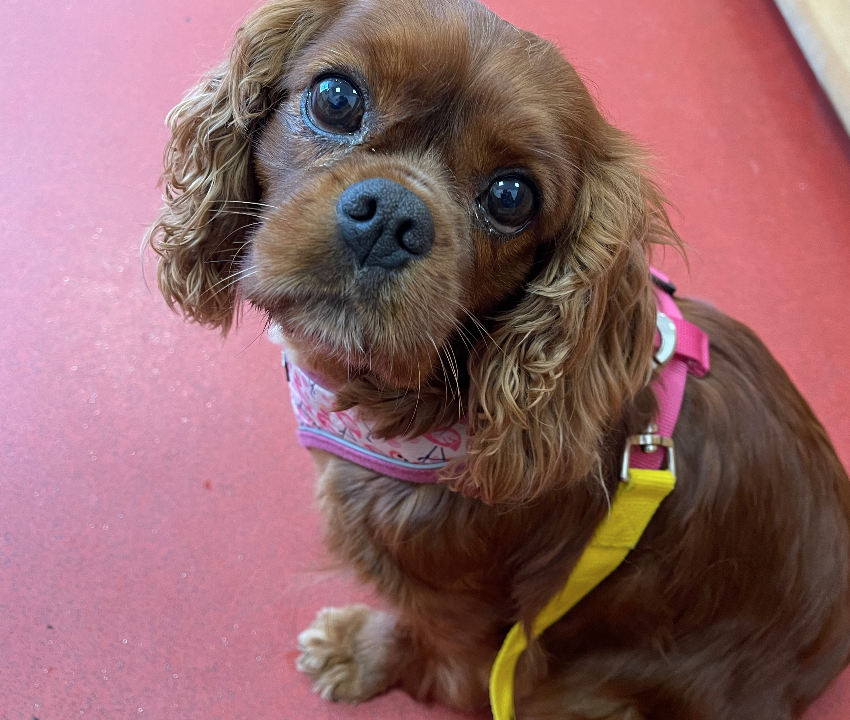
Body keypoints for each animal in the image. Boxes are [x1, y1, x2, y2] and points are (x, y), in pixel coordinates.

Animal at [146, 1, 848, 716]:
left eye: (512, 197)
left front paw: (360, 652)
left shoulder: (470, 624)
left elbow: (436, 656)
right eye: (336, 99)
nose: (391, 216)